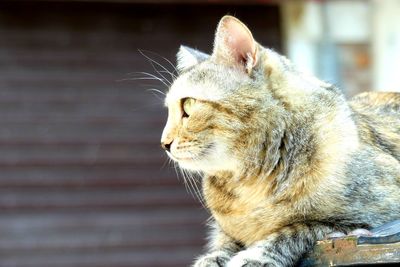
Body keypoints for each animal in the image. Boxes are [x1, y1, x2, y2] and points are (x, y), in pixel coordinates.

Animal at [159, 15, 400, 266]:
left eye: (188, 104)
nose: (163, 143)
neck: (251, 182)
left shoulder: (368, 219)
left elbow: (296, 229)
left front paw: (254, 256)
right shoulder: (225, 231)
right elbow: (222, 245)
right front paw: (212, 259)